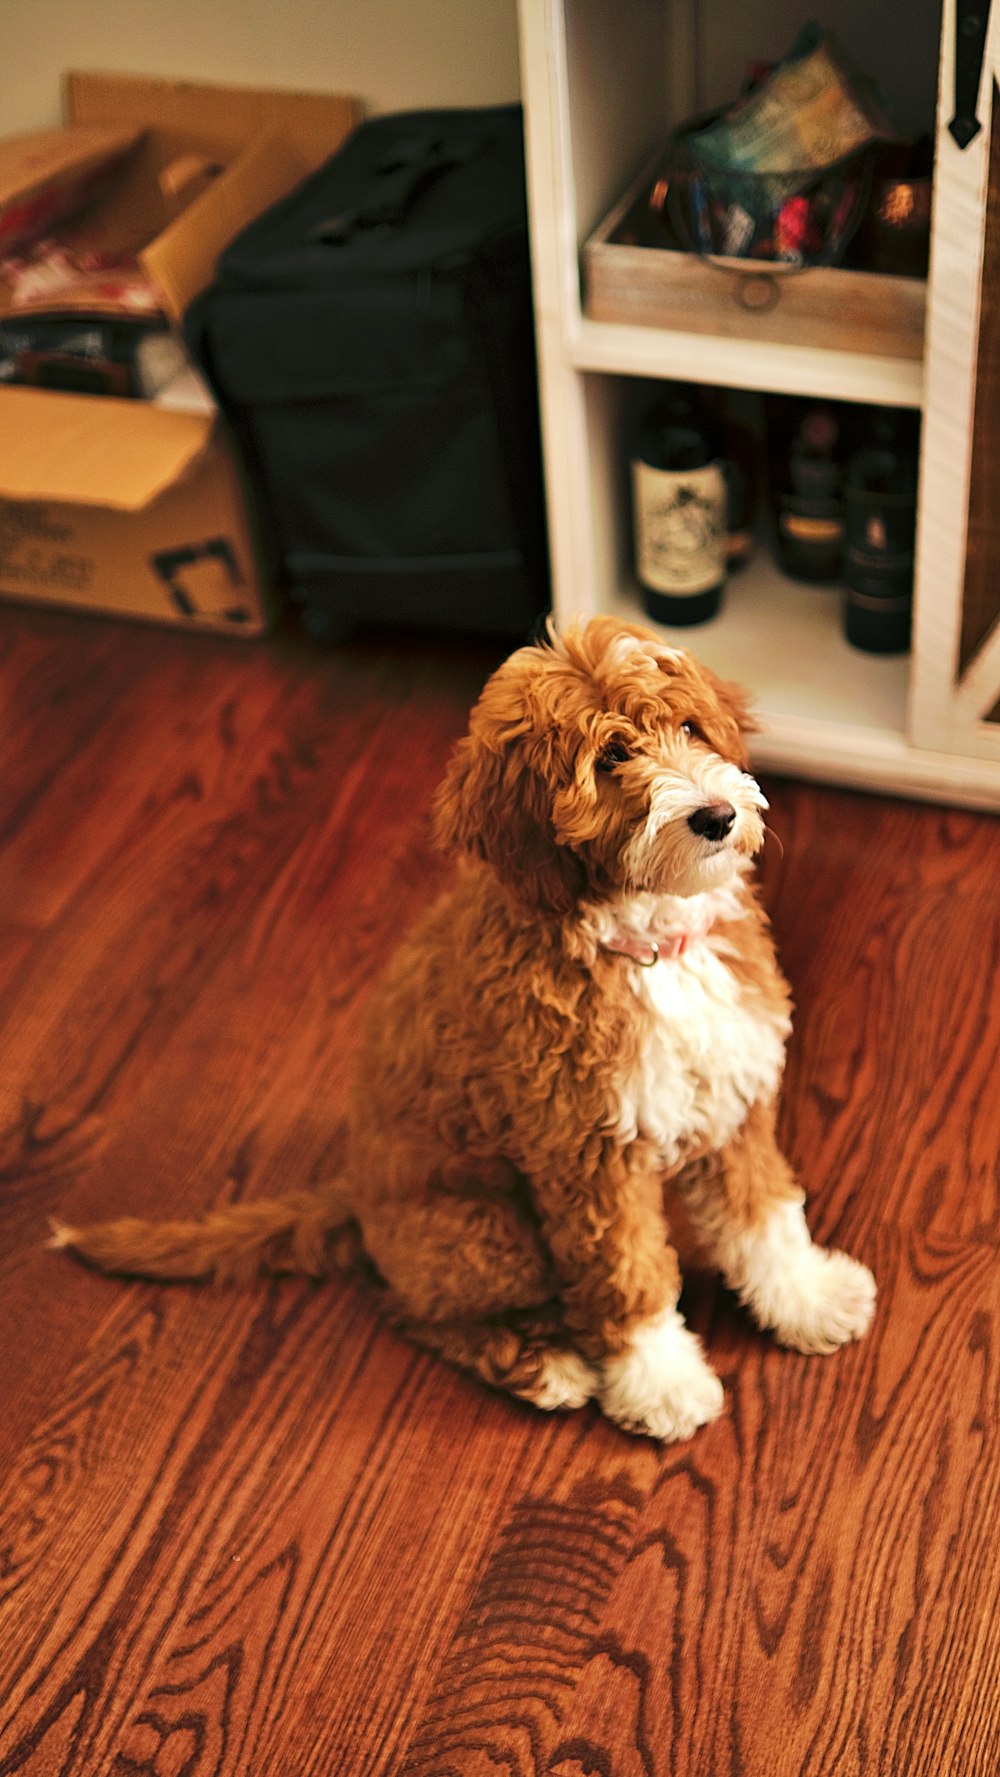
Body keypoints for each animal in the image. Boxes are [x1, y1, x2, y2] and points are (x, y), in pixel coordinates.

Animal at [56, 618, 877, 1435]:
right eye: (612, 757)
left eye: (687, 727)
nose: (717, 816)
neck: (643, 945)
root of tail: (355, 1197)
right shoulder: (587, 1157)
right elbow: (628, 1274)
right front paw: (661, 1381)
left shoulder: (732, 1096)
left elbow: (763, 1213)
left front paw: (806, 1297)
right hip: (486, 1237)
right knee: (411, 1311)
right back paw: (544, 1367)